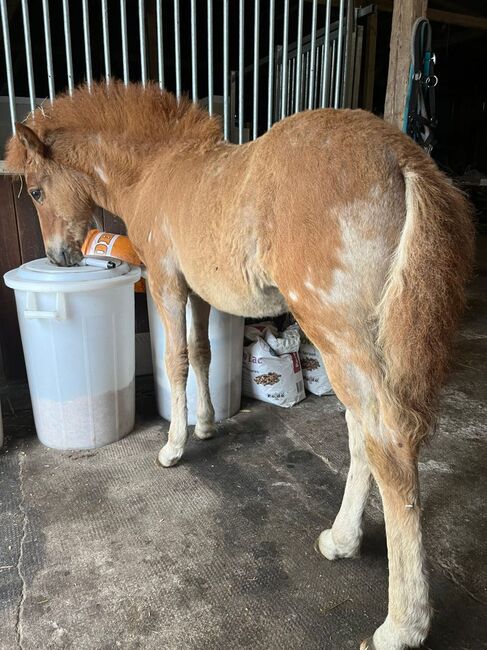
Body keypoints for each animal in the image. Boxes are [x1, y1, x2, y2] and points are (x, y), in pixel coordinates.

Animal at [5, 82, 474, 648]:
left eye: (35, 191)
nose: (58, 257)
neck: (157, 169)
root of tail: (403, 160)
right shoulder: (199, 291)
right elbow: (204, 351)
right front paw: (207, 425)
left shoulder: (166, 282)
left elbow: (177, 359)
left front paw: (174, 447)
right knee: (362, 432)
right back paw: (340, 540)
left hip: (339, 333)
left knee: (387, 439)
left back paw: (399, 625)